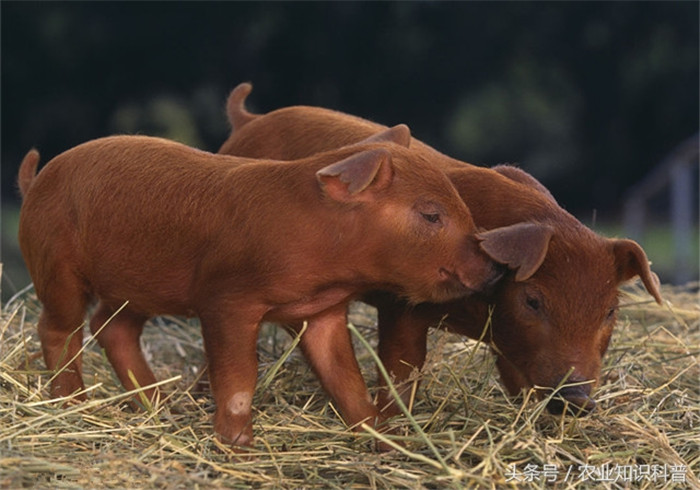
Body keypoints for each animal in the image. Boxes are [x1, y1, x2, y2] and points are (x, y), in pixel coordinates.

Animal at [16, 128, 506, 450]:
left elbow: (345, 376)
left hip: (135, 287)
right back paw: (77, 406)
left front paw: (379, 436)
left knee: (111, 327)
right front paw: (238, 445)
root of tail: (35, 182)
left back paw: (163, 408)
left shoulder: (322, 313)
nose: (495, 266)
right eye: (431, 215)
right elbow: (238, 376)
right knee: (59, 330)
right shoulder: (226, 300)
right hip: (56, 265)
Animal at [217, 82, 660, 420]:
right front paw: (395, 427)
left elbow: (515, 377)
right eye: (533, 300)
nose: (577, 399)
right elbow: (403, 367)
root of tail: (248, 120)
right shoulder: (402, 305)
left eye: (611, 310)